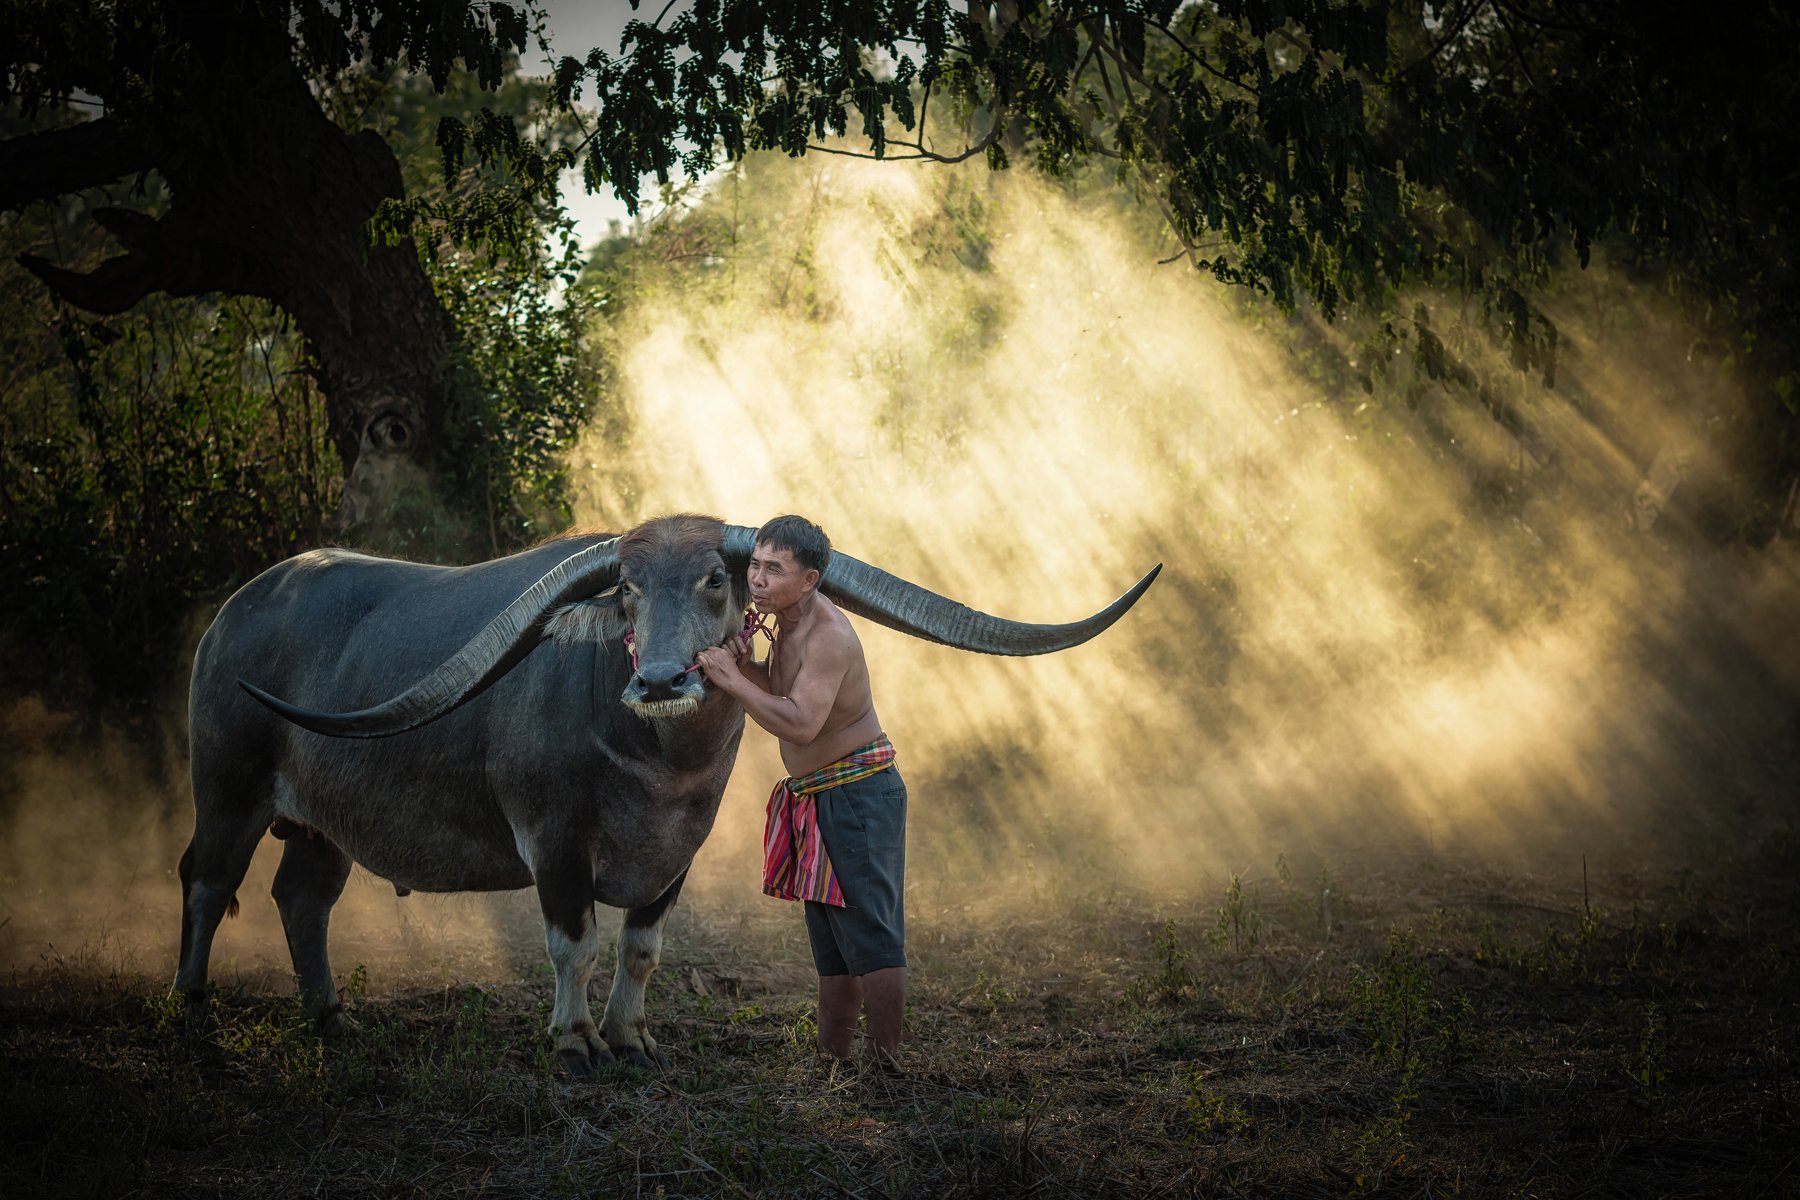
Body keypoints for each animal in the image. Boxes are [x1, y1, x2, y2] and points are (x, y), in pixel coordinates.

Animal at [182, 510, 1159, 1072]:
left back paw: (331, 1019)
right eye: (624, 589)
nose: (658, 679)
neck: (651, 764)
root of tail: (235, 611)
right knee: (206, 879)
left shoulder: (677, 855)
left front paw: (630, 1034)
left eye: (716, 578)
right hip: (228, 790)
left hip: (321, 826)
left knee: (301, 898)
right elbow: (573, 943)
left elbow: (642, 948)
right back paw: (193, 1012)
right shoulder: (554, 846)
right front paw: (574, 1039)